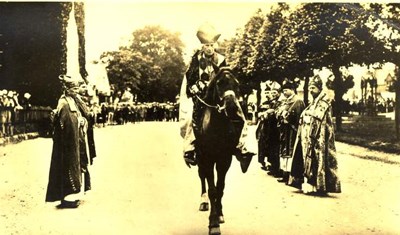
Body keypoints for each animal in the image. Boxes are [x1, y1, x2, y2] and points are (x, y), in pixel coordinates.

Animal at [194, 67, 244, 234]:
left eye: (237, 83)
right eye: (219, 83)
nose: (232, 108)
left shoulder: (224, 159)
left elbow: (220, 187)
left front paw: (219, 214)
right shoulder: (207, 159)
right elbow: (212, 190)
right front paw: (213, 222)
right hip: (201, 160)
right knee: (202, 177)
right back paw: (203, 202)